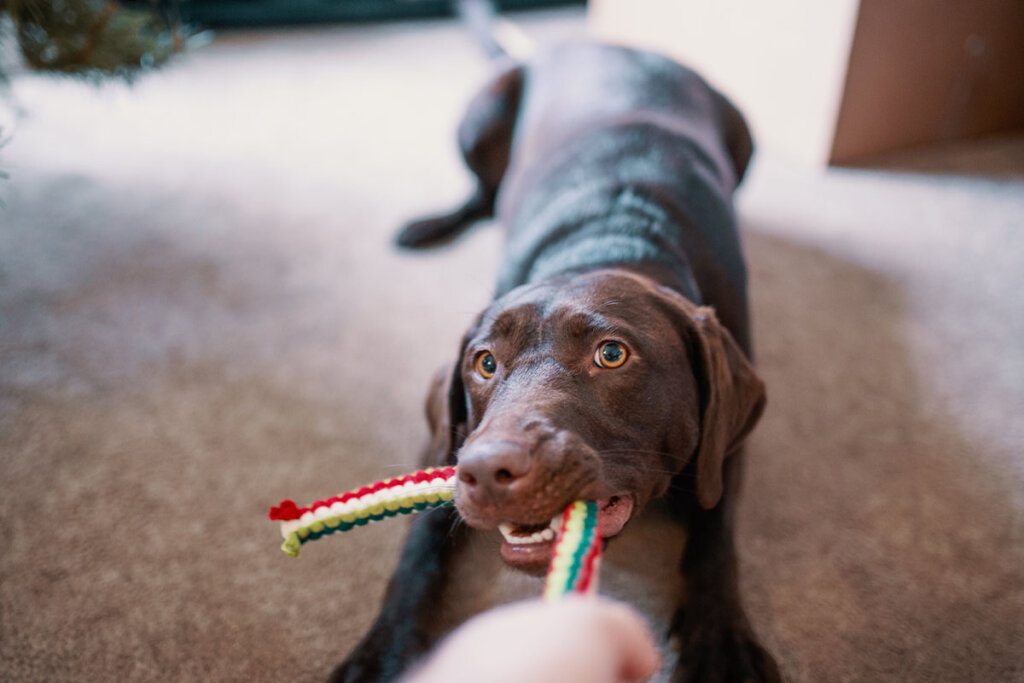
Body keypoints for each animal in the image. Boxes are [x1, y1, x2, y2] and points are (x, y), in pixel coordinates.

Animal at [331, 42, 778, 683]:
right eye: (485, 363)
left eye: (611, 354)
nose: (489, 470)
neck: (611, 240)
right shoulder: (448, 442)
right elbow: (418, 545)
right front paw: (381, 652)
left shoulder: (727, 443)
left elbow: (715, 534)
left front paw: (721, 642)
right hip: (482, 113)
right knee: (482, 195)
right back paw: (430, 224)